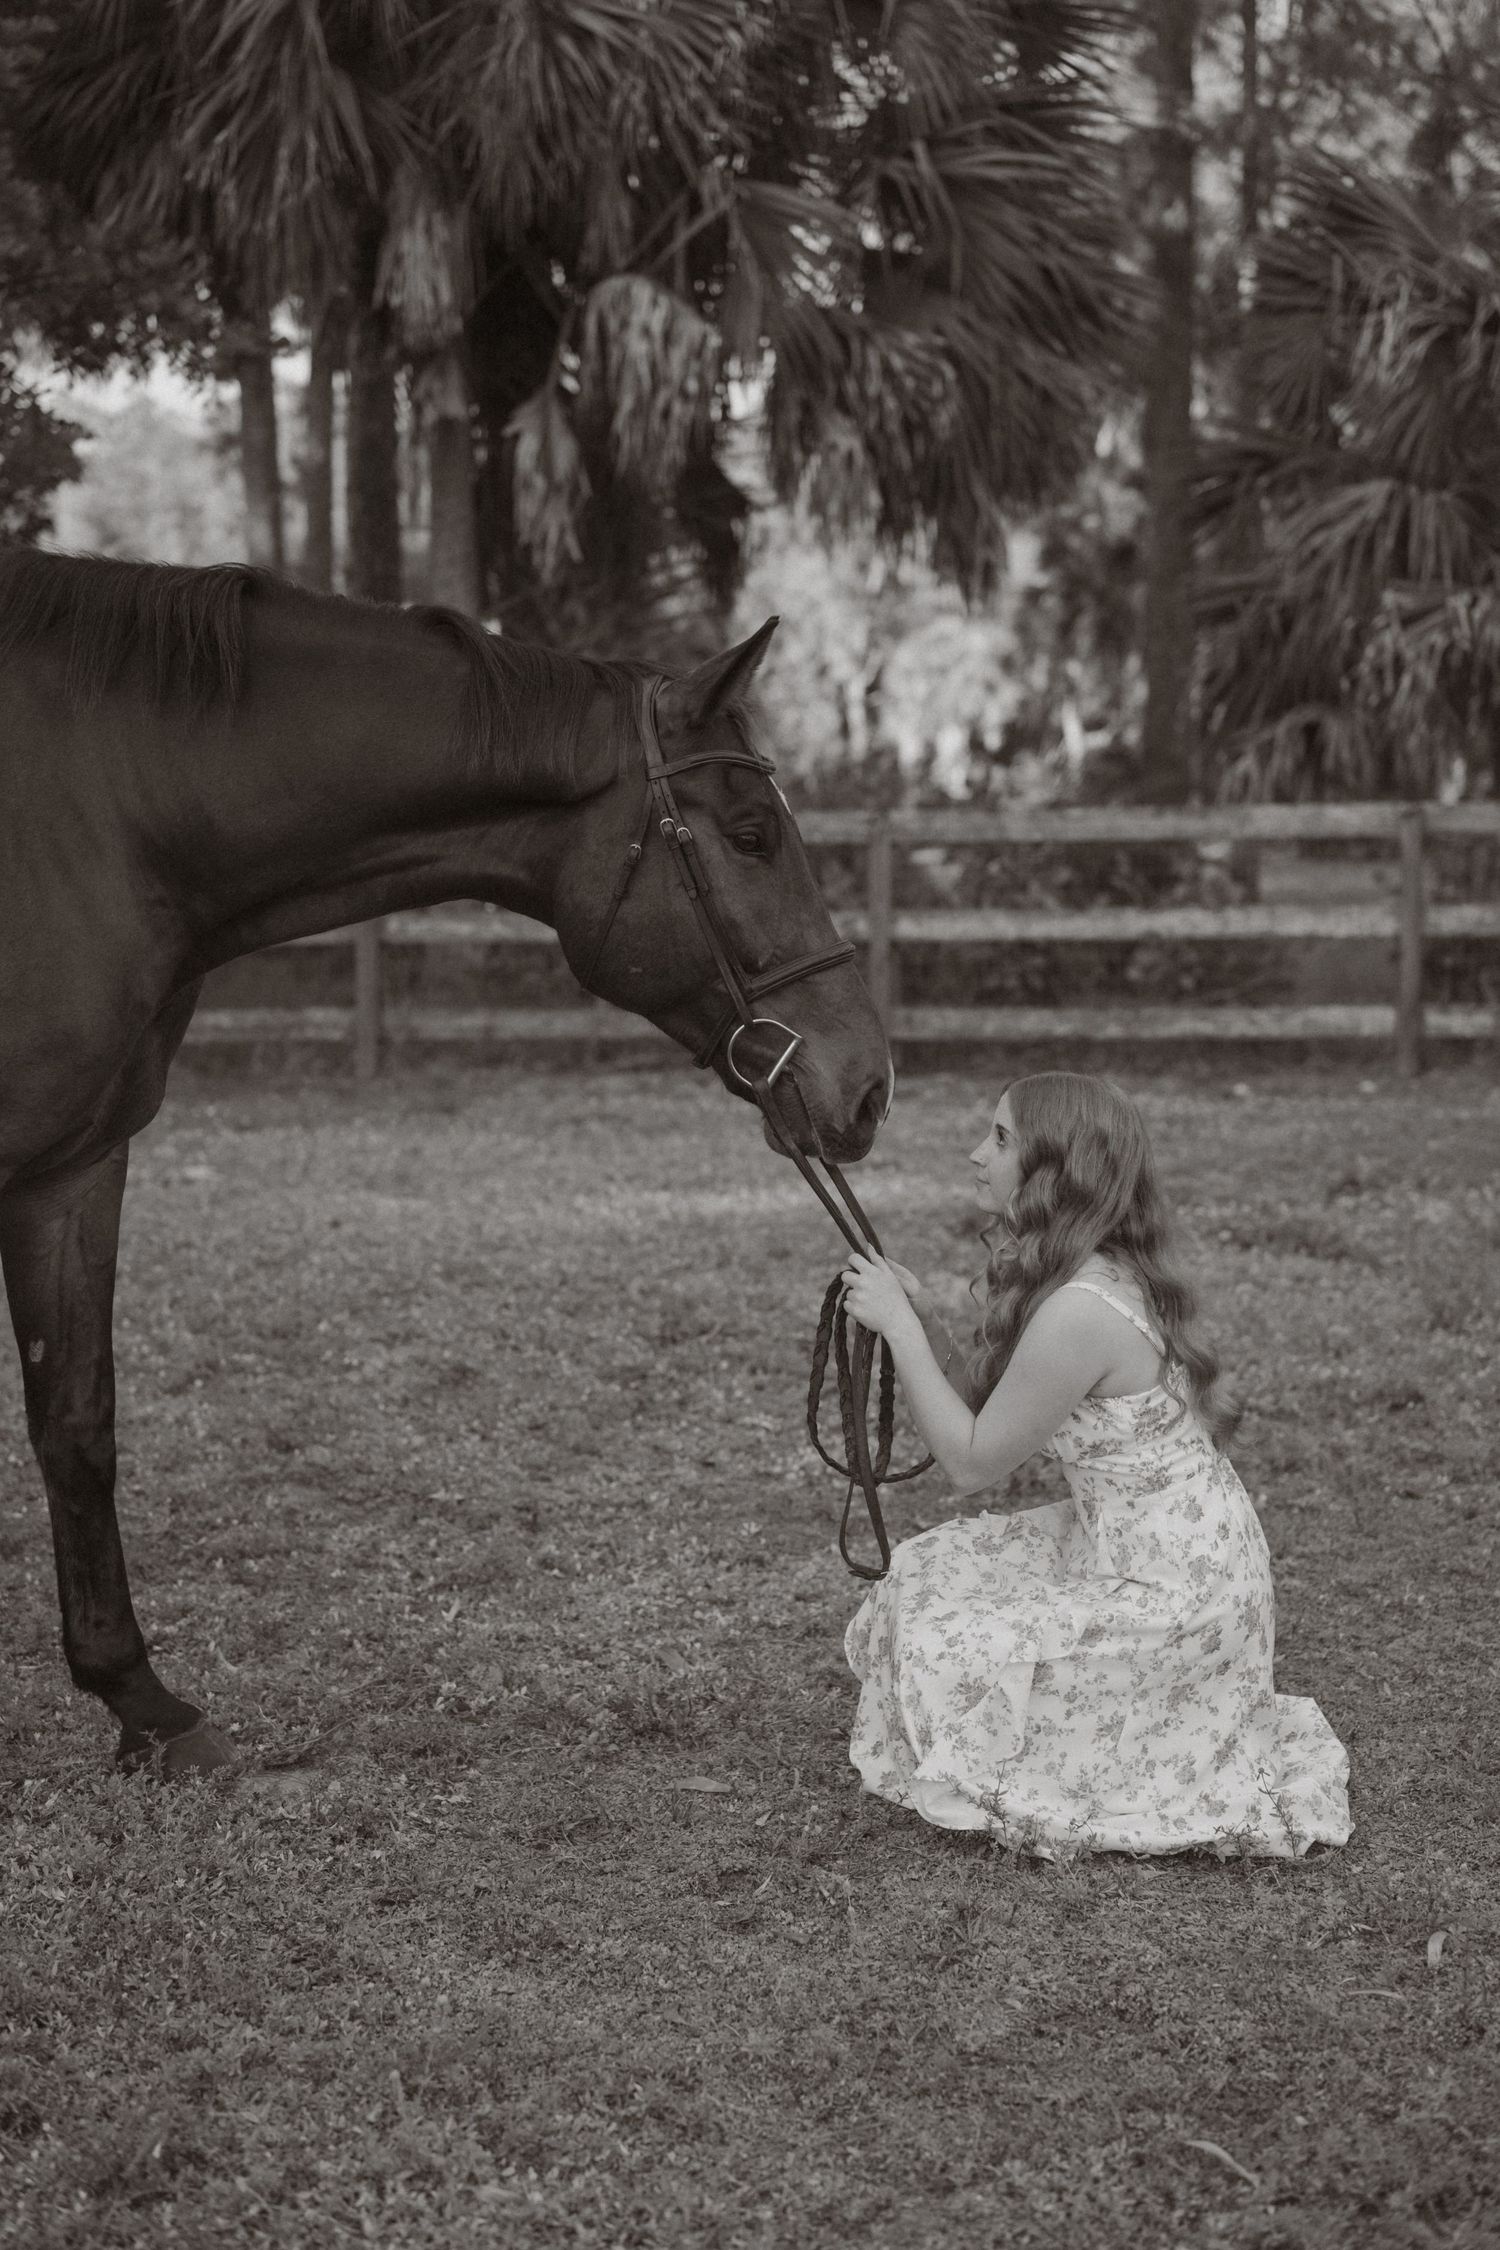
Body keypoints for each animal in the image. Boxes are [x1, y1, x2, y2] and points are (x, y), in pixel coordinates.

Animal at [0, 548, 892, 1777]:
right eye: (754, 831)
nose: (867, 1086)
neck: (101, 812)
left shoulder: (74, 1166)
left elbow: (76, 1424)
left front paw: (142, 1703)